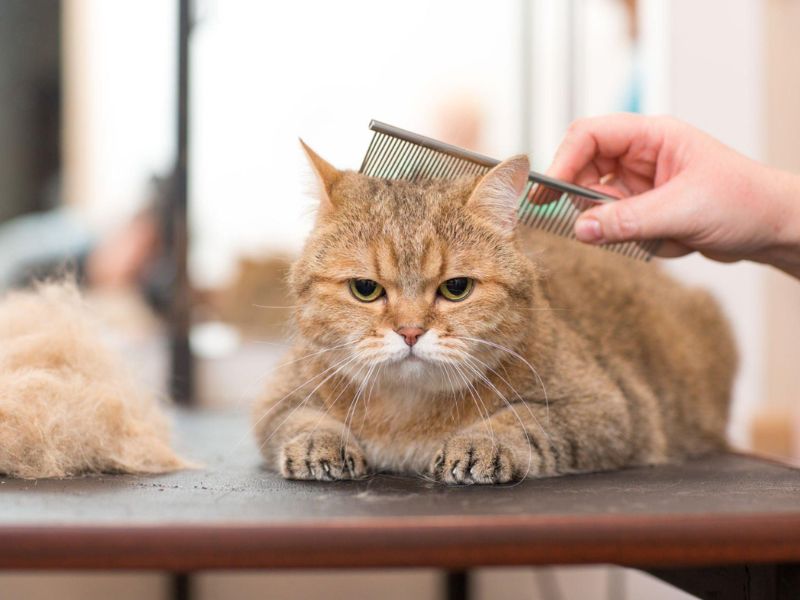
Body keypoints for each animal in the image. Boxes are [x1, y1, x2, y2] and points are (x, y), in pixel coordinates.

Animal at [253, 143, 736, 486]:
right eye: (365, 289)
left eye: (456, 288)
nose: (410, 331)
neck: (406, 414)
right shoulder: (276, 399)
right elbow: (300, 418)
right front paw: (320, 441)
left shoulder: (610, 408)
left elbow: (525, 419)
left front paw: (481, 441)